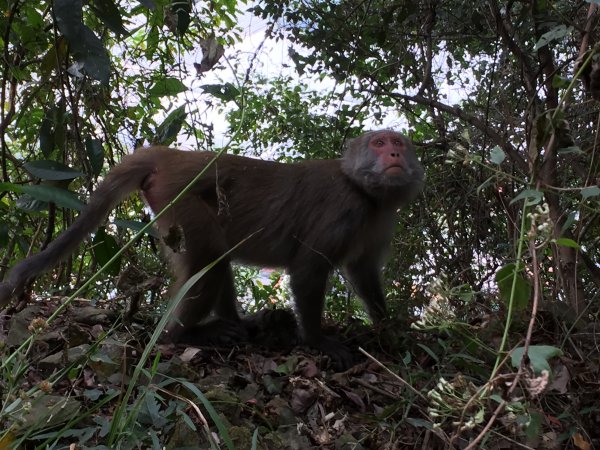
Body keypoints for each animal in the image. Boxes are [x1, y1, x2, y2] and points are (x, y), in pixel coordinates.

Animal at [0, 130, 424, 370]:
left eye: (399, 143)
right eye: (379, 144)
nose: (394, 155)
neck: (365, 191)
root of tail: (172, 154)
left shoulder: (379, 218)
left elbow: (363, 272)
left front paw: (389, 325)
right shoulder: (343, 208)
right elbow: (308, 268)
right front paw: (318, 341)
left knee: (216, 259)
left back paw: (241, 323)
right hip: (181, 199)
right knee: (211, 261)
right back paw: (183, 335)